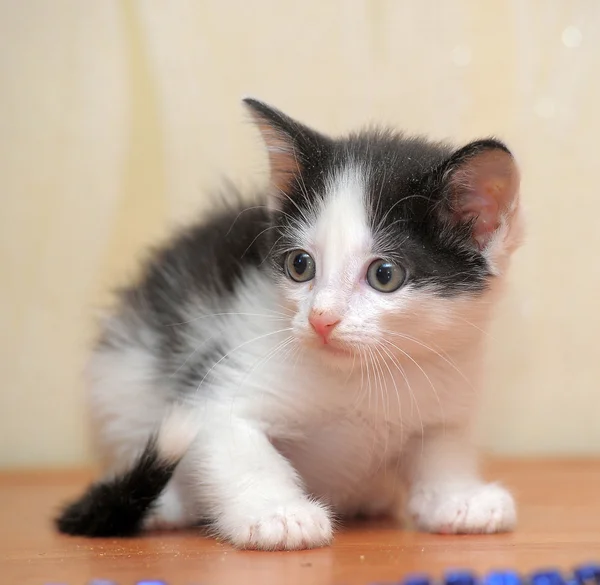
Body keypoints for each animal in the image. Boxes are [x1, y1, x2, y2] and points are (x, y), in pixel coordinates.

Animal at [57, 98, 524, 548]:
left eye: (385, 275)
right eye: (300, 265)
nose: (321, 318)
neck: (358, 378)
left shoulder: (446, 390)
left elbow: (442, 448)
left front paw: (459, 498)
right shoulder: (218, 376)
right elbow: (237, 442)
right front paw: (277, 514)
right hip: (121, 377)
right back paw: (169, 504)